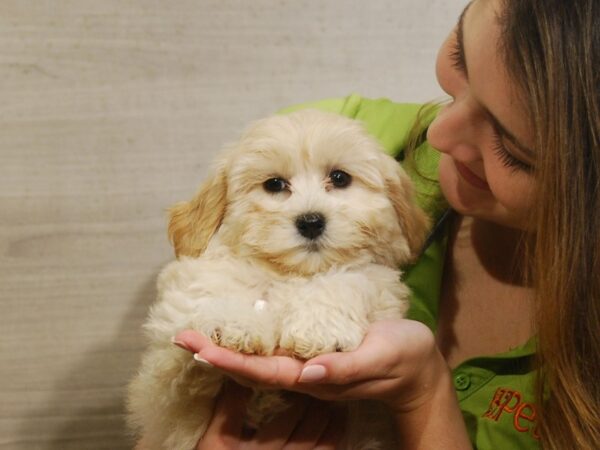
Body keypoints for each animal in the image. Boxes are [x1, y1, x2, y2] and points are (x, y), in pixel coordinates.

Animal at [126, 110, 428, 450]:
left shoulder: (379, 281)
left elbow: (348, 281)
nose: (311, 222)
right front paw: (234, 323)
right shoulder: (169, 377)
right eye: (274, 184)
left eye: (340, 178)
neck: (289, 273)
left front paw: (318, 328)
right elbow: (208, 291)